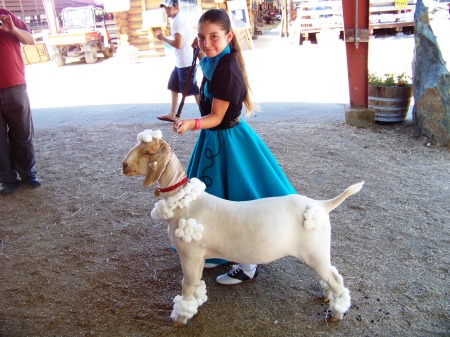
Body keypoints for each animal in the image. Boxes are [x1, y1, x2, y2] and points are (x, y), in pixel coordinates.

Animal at [122, 129, 362, 326]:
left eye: (147, 152)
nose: (124, 165)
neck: (186, 202)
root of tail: (321, 206)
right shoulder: (199, 257)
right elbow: (196, 282)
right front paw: (195, 305)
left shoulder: (189, 254)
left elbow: (187, 285)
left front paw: (180, 318)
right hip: (319, 253)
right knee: (334, 275)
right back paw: (328, 297)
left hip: (315, 252)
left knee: (335, 280)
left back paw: (336, 313)